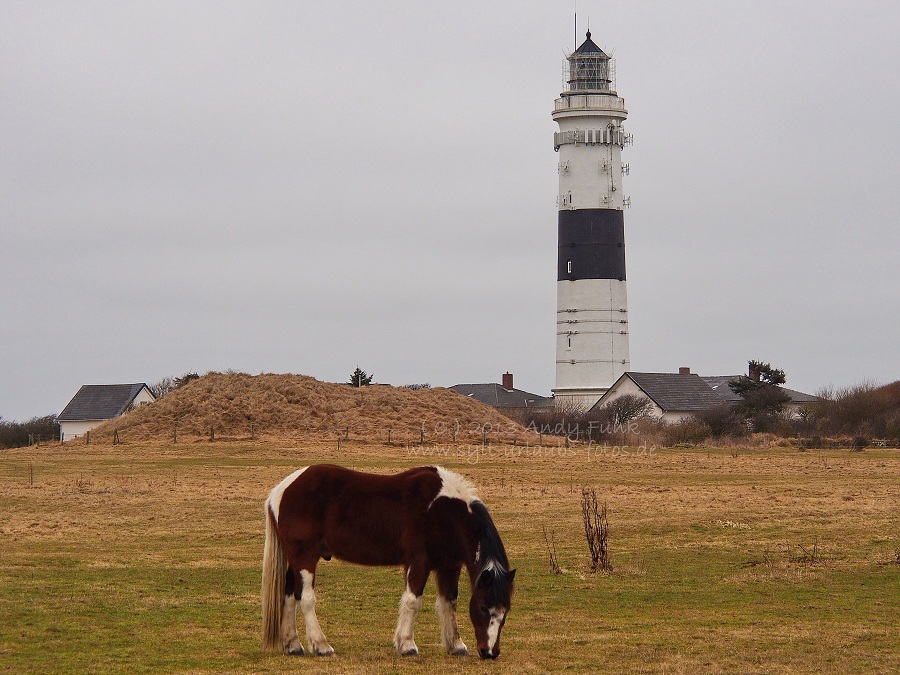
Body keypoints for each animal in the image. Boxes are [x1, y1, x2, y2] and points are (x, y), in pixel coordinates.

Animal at [260, 464, 512, 660]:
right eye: (483, 607)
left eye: (505, 610)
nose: (490, 652)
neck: (445, 511)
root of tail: (281, 490)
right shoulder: (419, 562)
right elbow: (412, 601)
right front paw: (407, 645)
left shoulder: (448, 566)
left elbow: (449, 602)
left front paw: (456, 645)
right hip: (305, 557)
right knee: (306, 599)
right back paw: (321, 646)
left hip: (295, 560)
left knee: (289, 595)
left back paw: (293, 645)